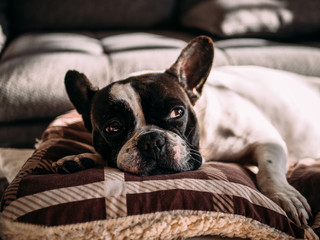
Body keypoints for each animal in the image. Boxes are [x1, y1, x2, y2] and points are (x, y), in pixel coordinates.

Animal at [52, 35, 318, 231]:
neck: (206, 145)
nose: (152, 140)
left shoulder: (267, 140)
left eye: (177, 112)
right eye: (113, 128)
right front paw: (81, 158)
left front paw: (284, 195)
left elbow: (269, 170)